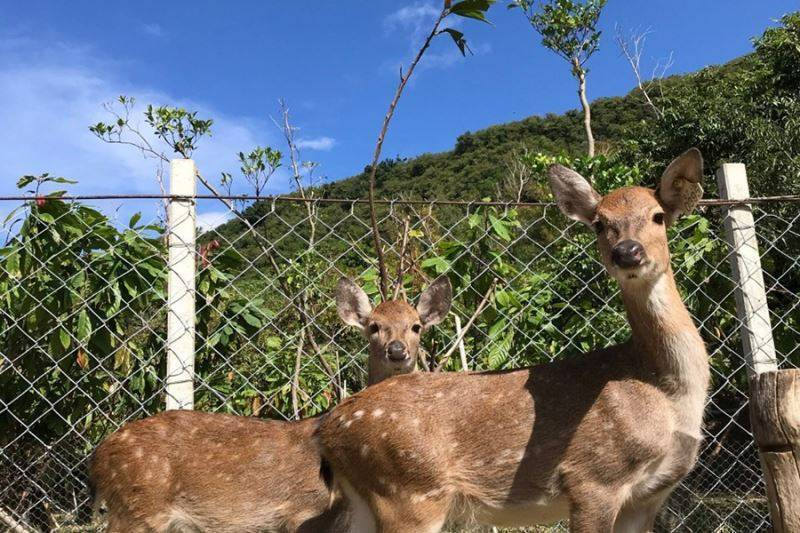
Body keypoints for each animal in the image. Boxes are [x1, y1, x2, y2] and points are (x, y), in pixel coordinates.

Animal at [89, 276, 450, 532]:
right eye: (373, 326)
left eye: (416, 326)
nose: (397, 350)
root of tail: (99, 456)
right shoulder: (302, 512)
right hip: (137, 507)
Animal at [316, 149, 708, 532]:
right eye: (599, 223)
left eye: (658, 216)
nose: (627, 251)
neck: (664, 390)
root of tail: (329, 429)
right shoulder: (593, 477)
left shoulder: (648, 495)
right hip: (407, 489)